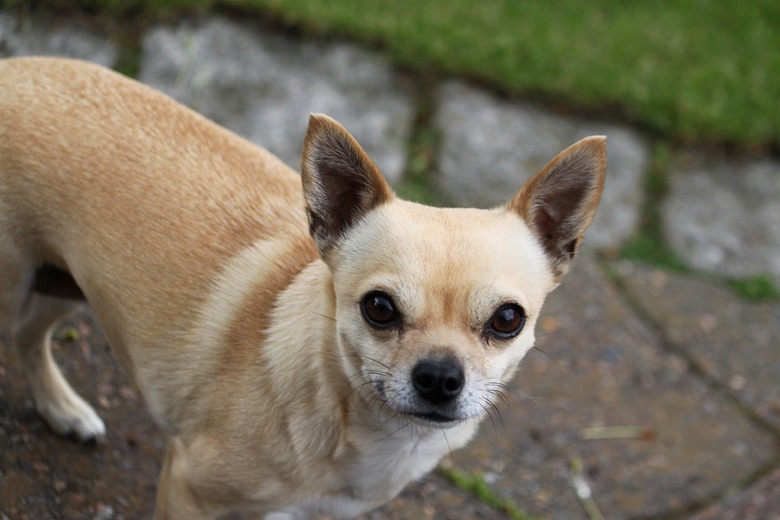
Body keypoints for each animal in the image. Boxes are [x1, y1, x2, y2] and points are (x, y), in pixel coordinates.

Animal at [0, 54, 608, 516]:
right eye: (378, 308)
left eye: (508, 320)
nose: (439, 376)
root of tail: (15, 66)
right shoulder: (188, 488)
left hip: (71, 282)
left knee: (30, 335)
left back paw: (61, 408)